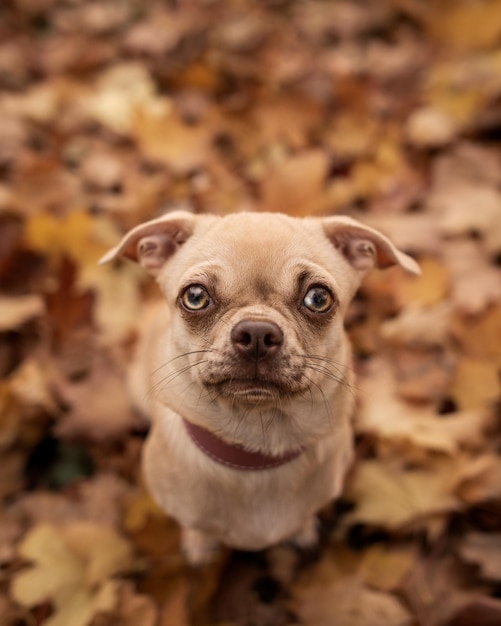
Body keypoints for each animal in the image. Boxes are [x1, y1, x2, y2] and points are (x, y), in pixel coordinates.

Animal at [98, 208, 418, 560]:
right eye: (195, 297)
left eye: (318, 298)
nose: (257, 332)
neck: (259, 444)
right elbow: (199, 528)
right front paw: (200, 546)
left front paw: (302, 532)